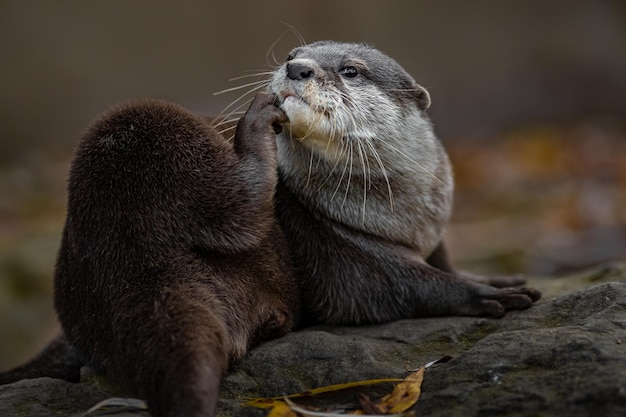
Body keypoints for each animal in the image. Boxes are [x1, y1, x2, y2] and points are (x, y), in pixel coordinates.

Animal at [0, 41, 536, 416]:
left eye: (350, 70)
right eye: (294, 55)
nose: (297, 69)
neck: (399, 213)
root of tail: (129, 249)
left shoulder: (433, 233)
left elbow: (444, 262)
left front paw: (497, 278)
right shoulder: (335, 251)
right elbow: (402, 285)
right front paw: (488, 296)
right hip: (148, 138)